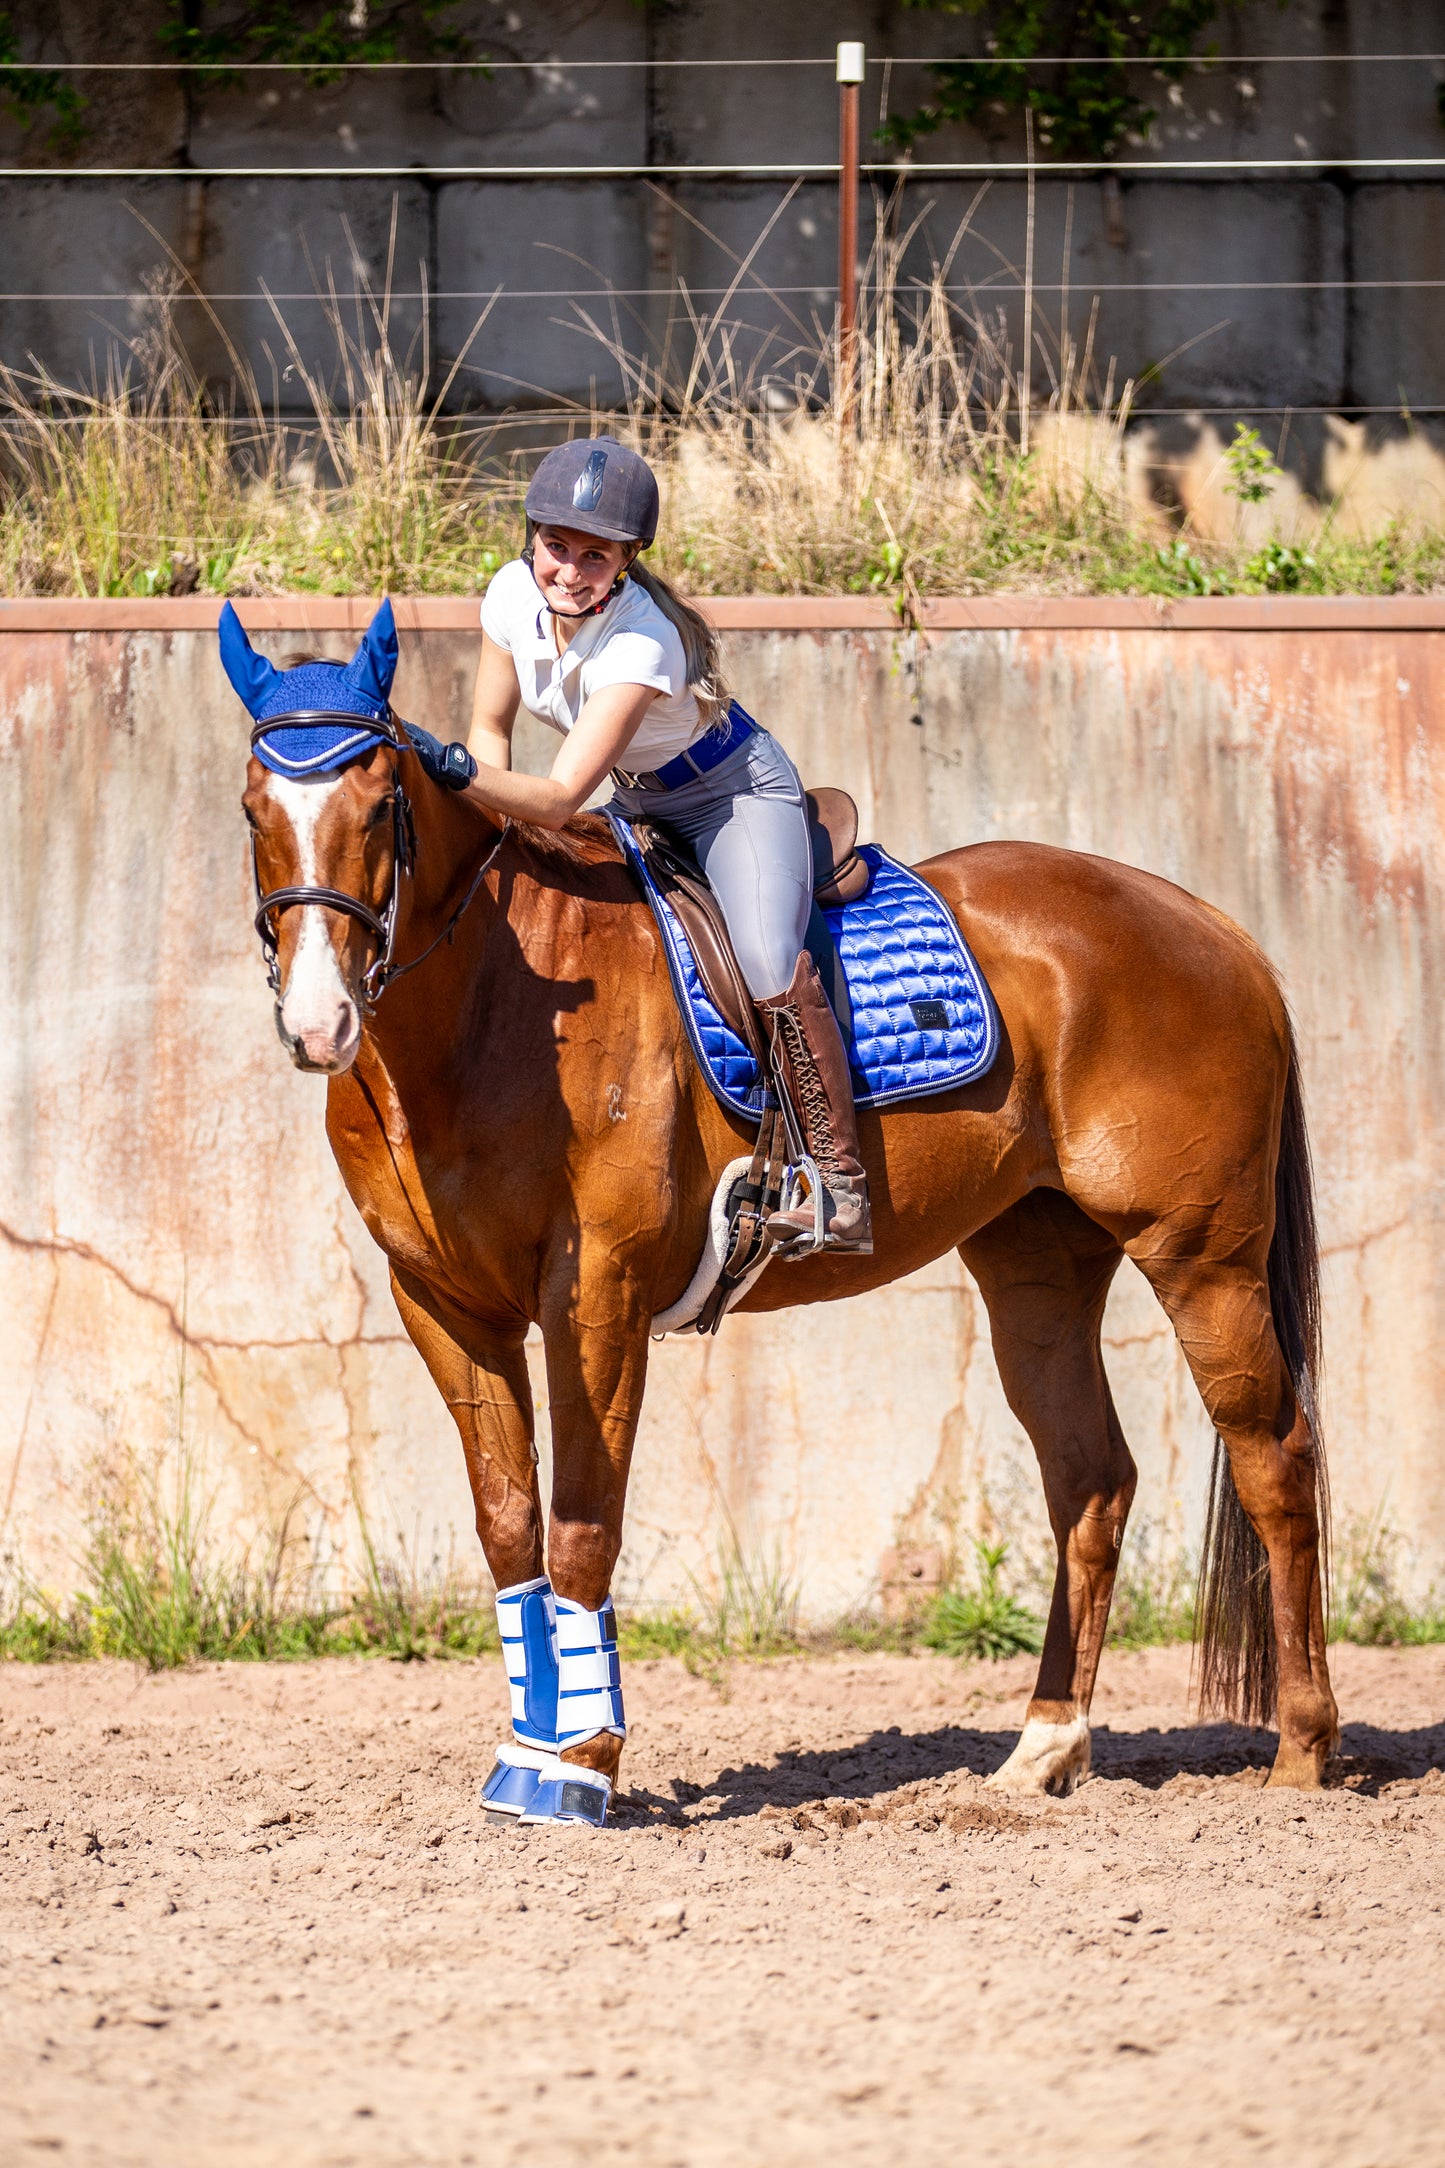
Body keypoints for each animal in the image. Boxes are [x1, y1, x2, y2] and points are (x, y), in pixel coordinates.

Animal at [242, 711, 1343, 1795]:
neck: (497, 1009)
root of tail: (1211, 927)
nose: (318, 1021)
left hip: (1202, 1263)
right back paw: (1042, 1748)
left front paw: (582, 1767)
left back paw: (1298, 1754)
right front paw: (525, 1757)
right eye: (255, 811)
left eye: (380, 804)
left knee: (1275, 1462)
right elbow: (510, 1524)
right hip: (1038, 1268)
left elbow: (583, 1522)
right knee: (1090, 1480)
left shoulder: (595, 1297)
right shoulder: (443, 1305)